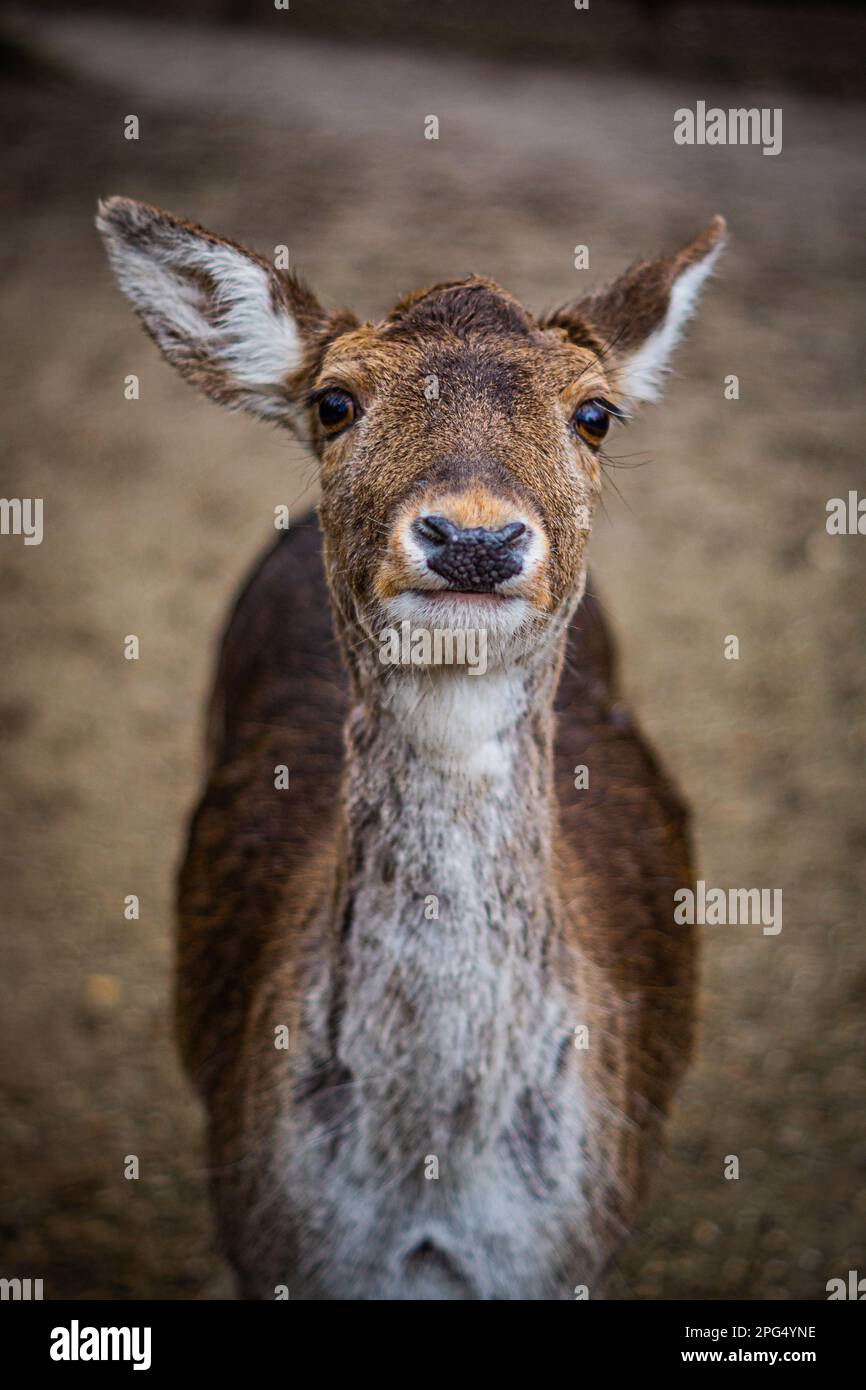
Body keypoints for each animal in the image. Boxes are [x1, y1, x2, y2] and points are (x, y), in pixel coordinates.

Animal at [97, 198, 722, 1301]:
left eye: (595, 414)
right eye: (334, 401)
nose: (471, 540)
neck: (429, 1206)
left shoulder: (572, 1253)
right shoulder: (270, 1244)